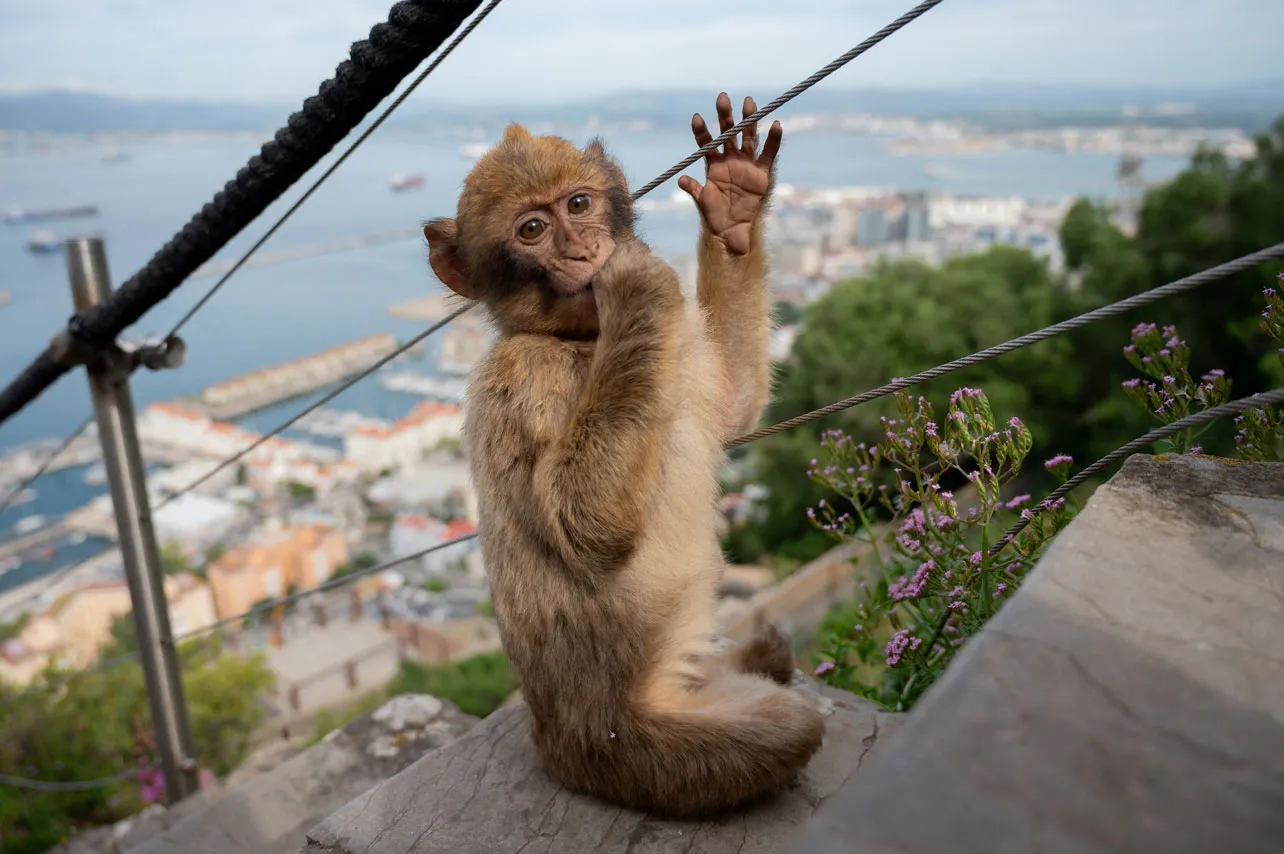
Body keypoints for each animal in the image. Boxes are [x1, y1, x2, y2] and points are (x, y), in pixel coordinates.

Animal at [422, 92, 825, 818]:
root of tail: (552, 742)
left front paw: (735, 206)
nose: (584, 247)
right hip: (629, 755)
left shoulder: (680, 344)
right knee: (788, 729)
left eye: (578, 205)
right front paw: (633, 282)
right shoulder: (519, 378)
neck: (581, 339)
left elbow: (733, 404)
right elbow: (586, 524)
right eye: (532, 229)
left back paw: (750, 656)